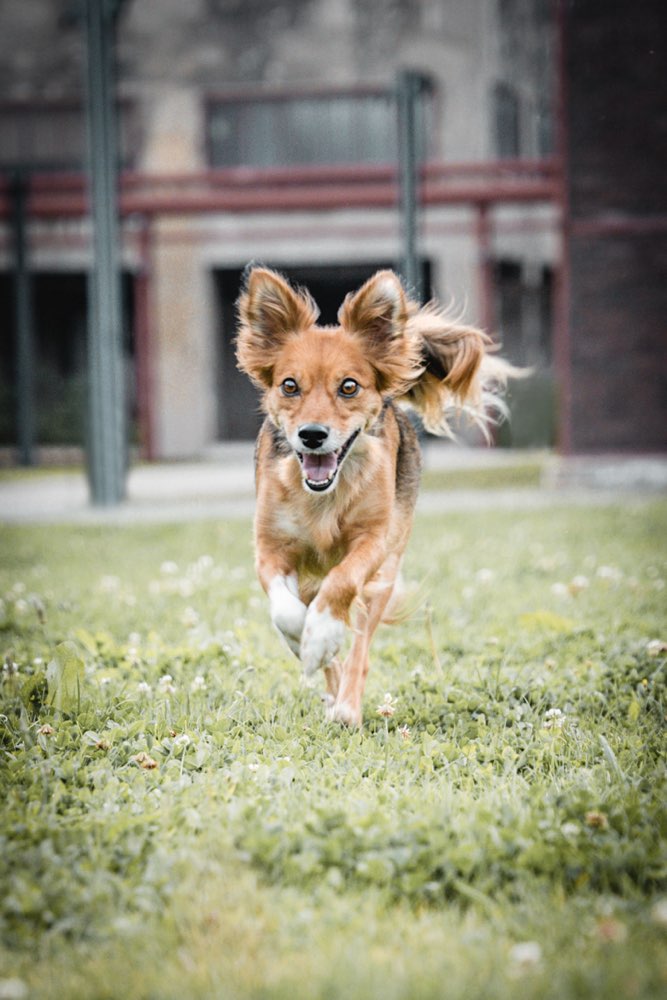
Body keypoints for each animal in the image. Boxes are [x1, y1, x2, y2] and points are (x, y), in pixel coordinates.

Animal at [236, 262, 516, 724]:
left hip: (384, 575)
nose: (312, 435)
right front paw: (304, 640)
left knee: (360, 645)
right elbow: (285, 610)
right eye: (290, 386)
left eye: (349, 387)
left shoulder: (374, 542)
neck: (324, 495)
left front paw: (321, 636)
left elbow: (342, 582)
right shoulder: (270, 547)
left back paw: (346, 707)